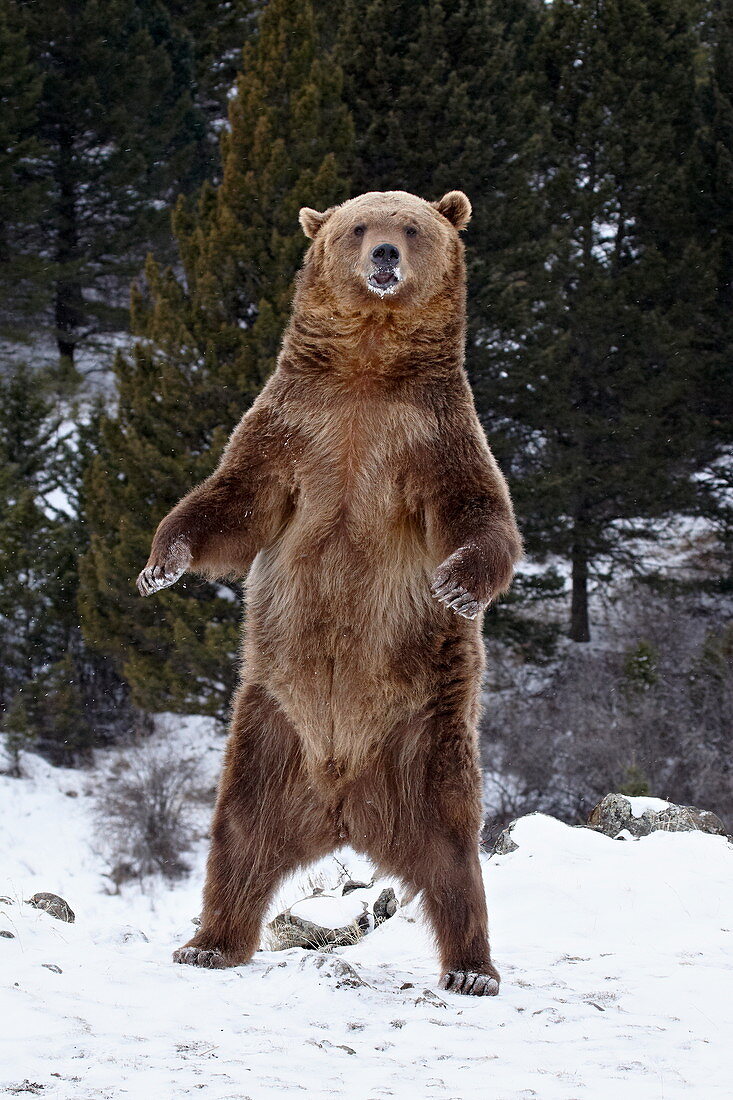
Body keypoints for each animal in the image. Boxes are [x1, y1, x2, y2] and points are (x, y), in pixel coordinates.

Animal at [137, 189, 521, 998]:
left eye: (411, 225)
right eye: (357, 226)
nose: (384, 256)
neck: (366, 372)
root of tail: (345, 805)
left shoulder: (429, 438)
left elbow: (477, 511)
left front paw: (456, 585)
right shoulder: (293, 427)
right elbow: (233, 504)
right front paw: (161, 565)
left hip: (427, 738)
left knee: (453, 856)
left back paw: (472, 969)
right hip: (269, 729)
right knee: (239, 837)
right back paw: (209, 942)